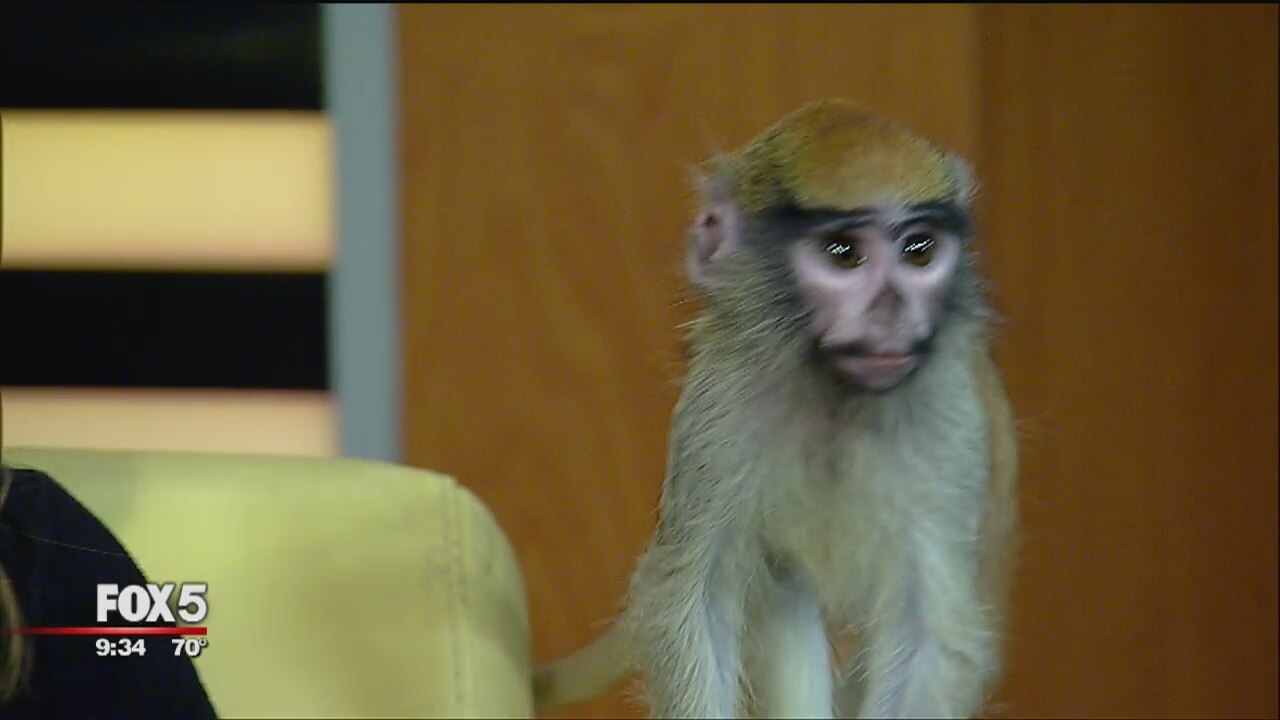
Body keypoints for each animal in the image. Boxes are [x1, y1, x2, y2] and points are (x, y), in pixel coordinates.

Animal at [533, 98, 1018, 719]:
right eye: (844, 253)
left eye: (920, 250)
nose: (891, 312)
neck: (834, 394)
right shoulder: (721, 401)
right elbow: (700, 593)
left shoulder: (949, 414)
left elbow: (926, 626)